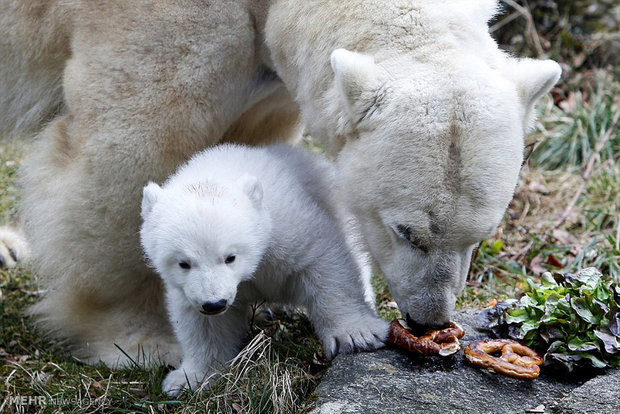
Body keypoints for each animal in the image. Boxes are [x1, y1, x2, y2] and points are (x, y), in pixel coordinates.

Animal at [0, 0, 560, 366]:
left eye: (479, 237)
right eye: (405, 231)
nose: (429, 320)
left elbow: (248, 142)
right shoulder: (162, 22)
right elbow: (133, 149)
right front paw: (140, 339)